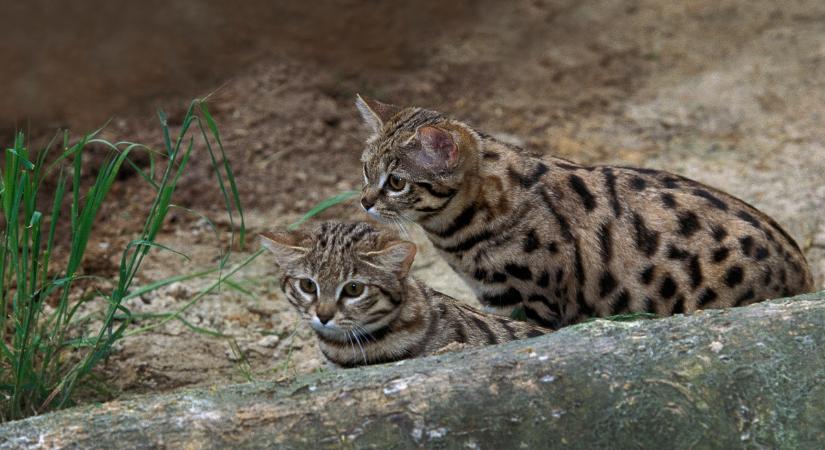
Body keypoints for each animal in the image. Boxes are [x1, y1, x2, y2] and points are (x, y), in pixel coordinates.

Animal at [358, 96, 816, 326]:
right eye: (365, 169)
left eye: (396, 182)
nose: (364, 201)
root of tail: (806, 277)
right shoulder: (497, 300)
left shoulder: (534, 303)